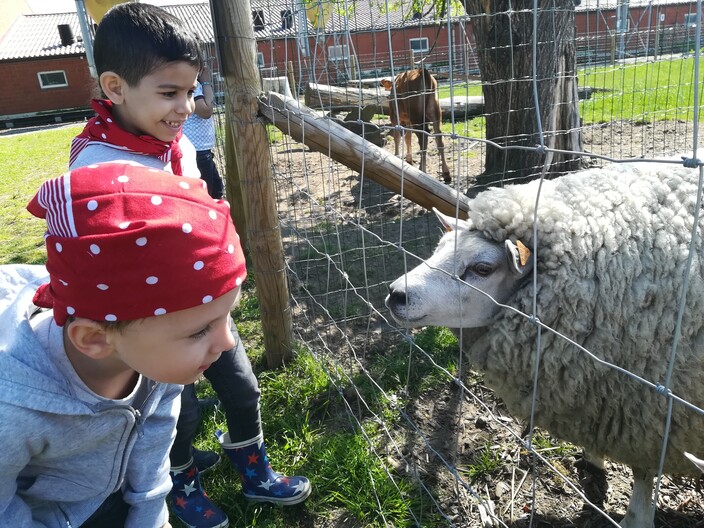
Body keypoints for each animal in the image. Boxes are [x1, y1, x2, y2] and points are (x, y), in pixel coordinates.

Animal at [384, 161, 704, 528]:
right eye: (439, 247)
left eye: (482, 268)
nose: (395, 294)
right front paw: (594, 459)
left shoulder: (651, 413)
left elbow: (642, 475)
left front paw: (637, 515)